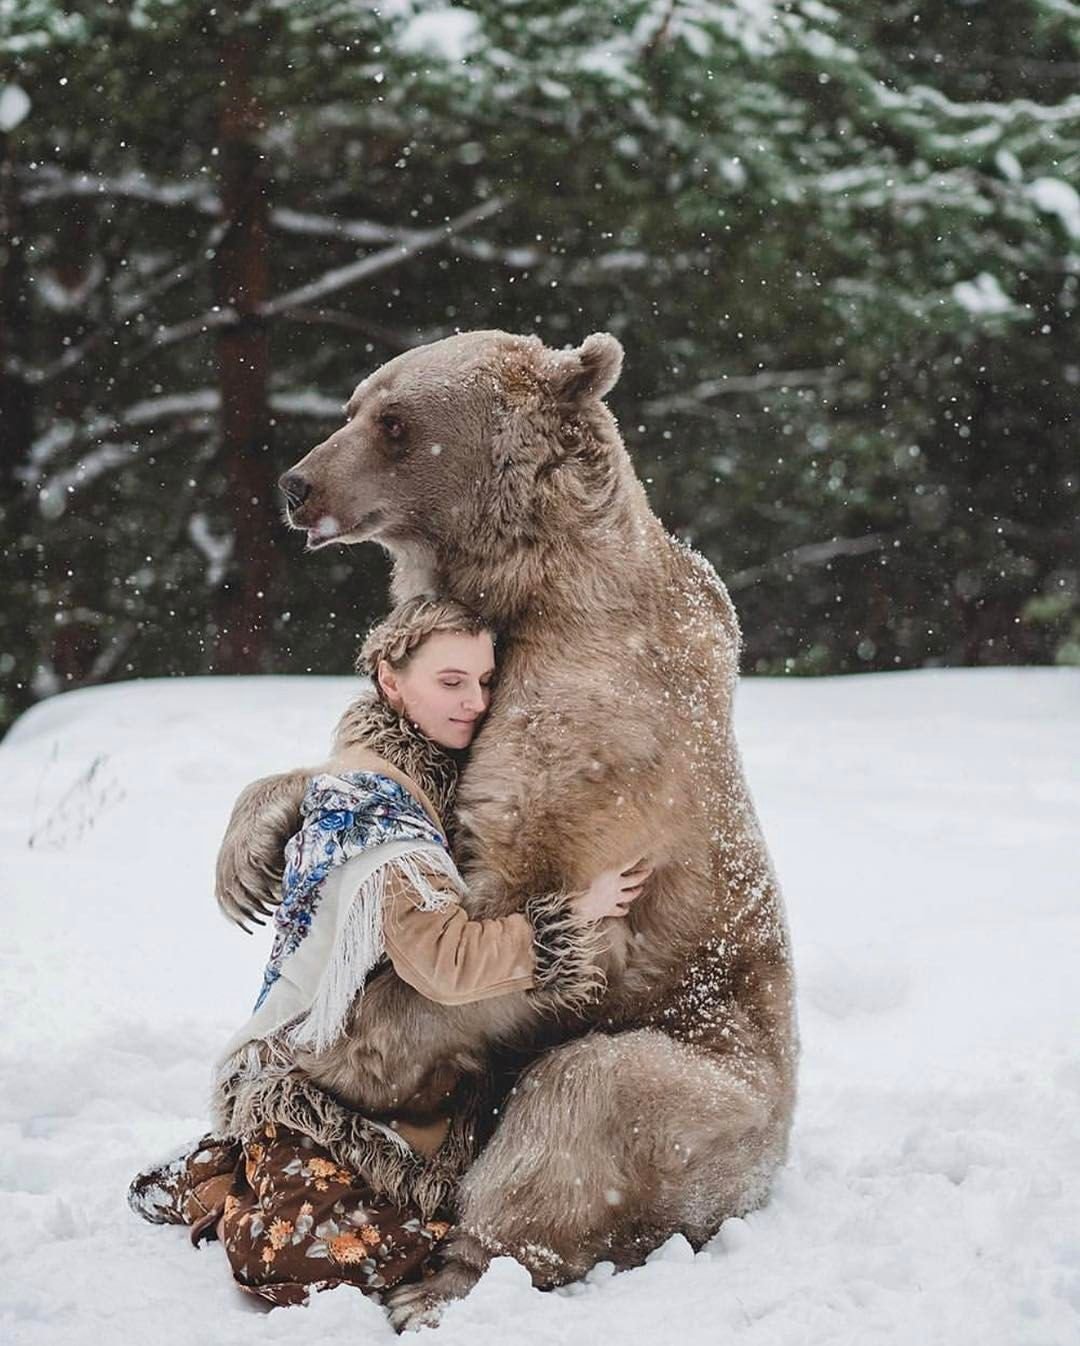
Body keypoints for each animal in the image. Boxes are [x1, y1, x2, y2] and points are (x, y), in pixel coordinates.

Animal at [215, 330, 798, 1327]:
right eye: (354, 404)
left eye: (395, 422)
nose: (297, 484)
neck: (534, 587)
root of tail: (769, 1178)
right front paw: (247, 860)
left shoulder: (597, 741)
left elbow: (498, 941)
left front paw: (296, 1061)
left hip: (719, 1094)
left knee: (584, 1100)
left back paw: (443, 1280)